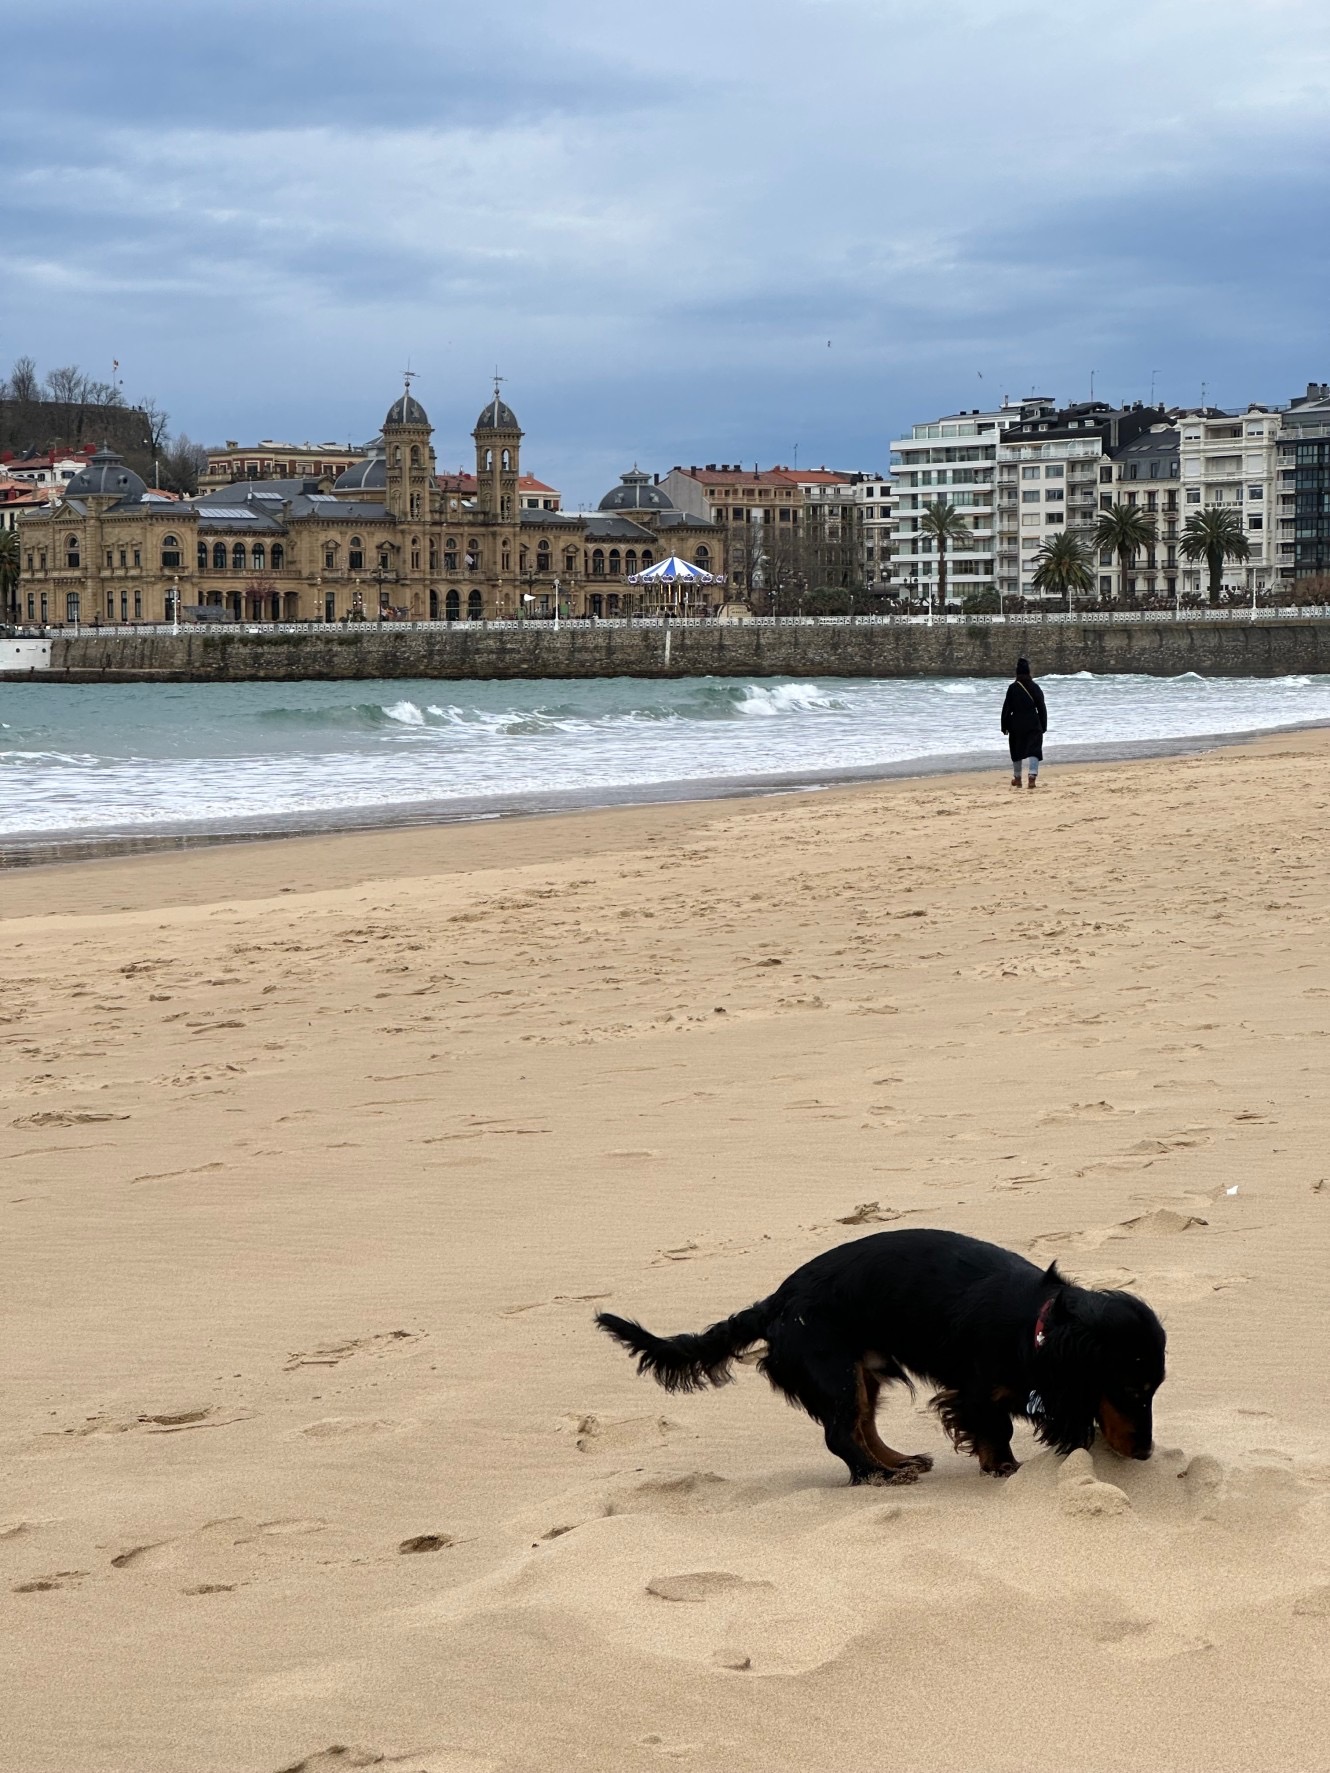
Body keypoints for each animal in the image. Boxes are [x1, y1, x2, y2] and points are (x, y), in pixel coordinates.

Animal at [592, 1234, 1163, 1482]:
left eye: (1154, 1391)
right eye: (1132, 1389)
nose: (1145, 1454)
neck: (1035, 1324)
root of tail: (777, 1302)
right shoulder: (976, 1388)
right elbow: (993, 1425)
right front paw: (1001, 1465)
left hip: (861, 1373)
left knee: (864, 1426)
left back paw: (897, 1462)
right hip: (836, 1372)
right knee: (842, 1435)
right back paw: (880, 1476)